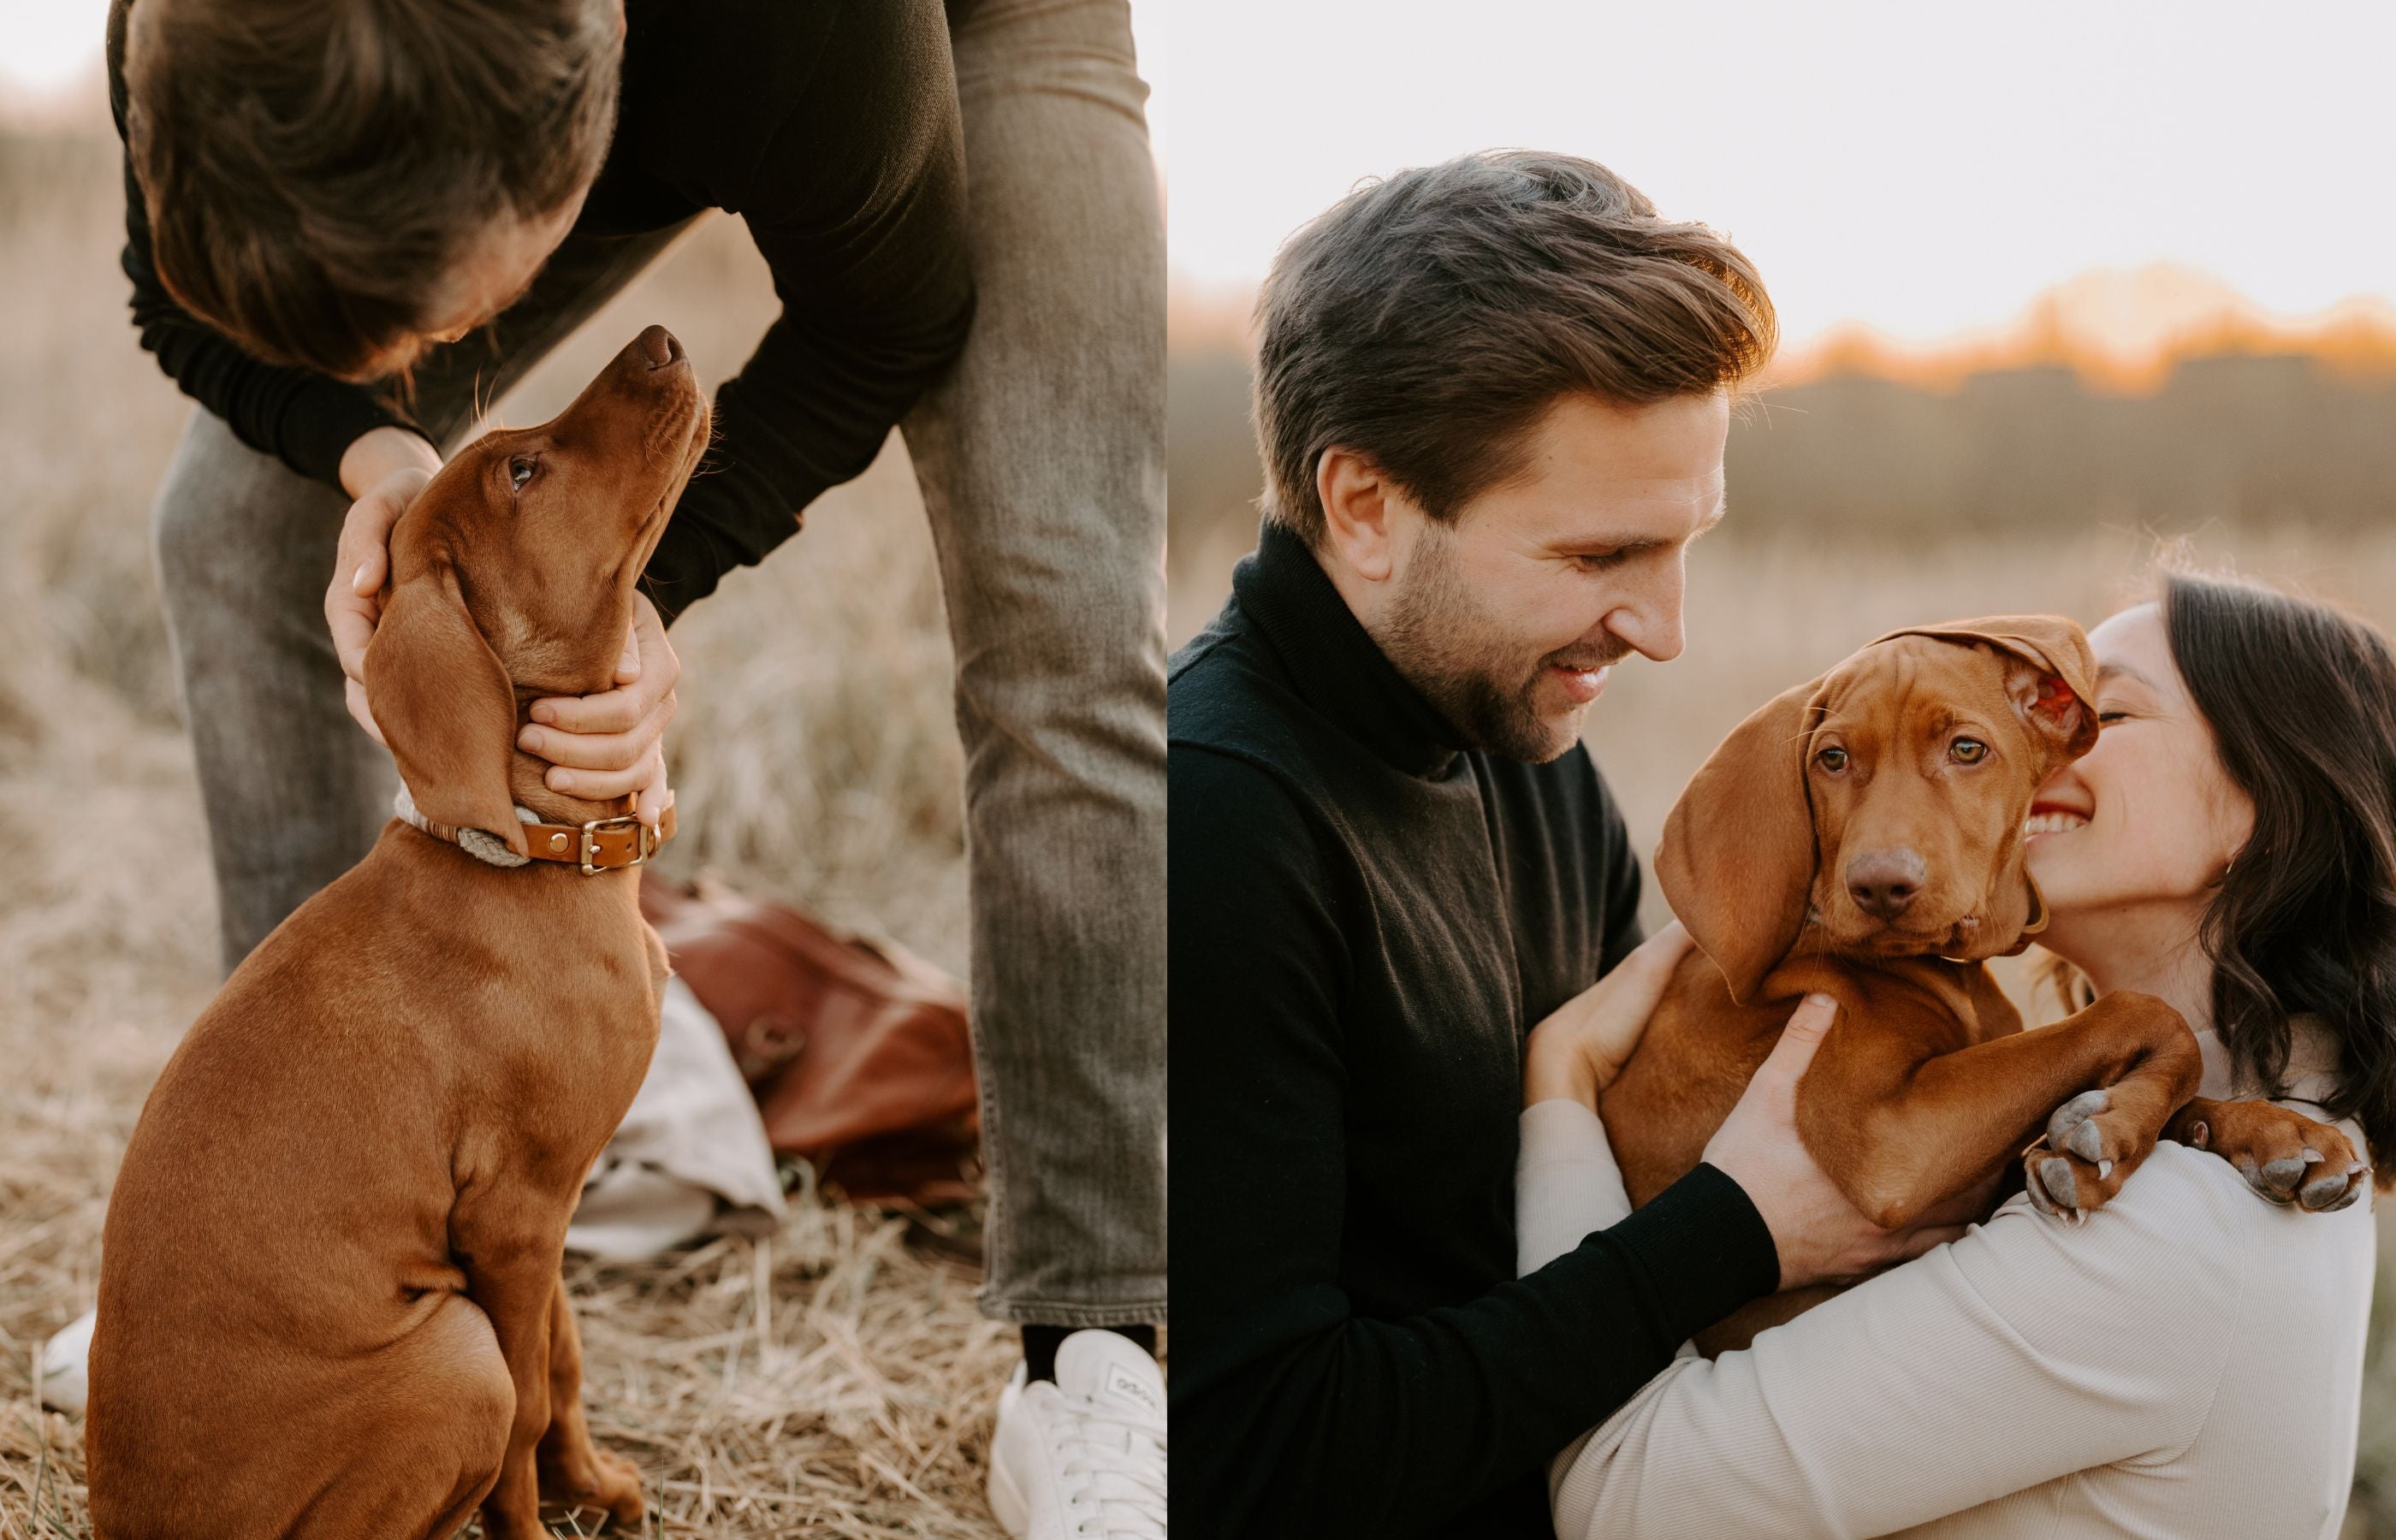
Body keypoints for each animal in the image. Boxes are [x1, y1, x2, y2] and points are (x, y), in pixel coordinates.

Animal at [88, 328, 704, 1540]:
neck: (530, 857)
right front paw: (533, 1521)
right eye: (522, 472)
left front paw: (594, 1485)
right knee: (484, 1402)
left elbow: (563, 1359)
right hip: (452, 1355)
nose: (660, 341)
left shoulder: (546, 1202)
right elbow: (529, 1397)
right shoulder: (513, 1212)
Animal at [1600, 613, 2367, 1350]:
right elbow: (2142, 1015)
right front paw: (2115, 1131)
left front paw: (2274, 1132)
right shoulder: (1888, 1139)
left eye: (1967, 750)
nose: (1880, 886)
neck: (1943, 968)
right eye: (1832, 759)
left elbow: (2157, 1083)